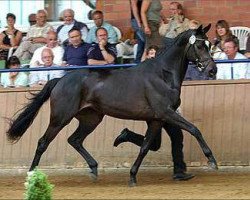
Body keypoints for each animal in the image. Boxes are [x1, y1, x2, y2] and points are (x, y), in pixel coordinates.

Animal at [5, 25, 217, 186]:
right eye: (200, 45)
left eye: (210, 44)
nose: (212, 70)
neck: (162, 75)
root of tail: (60, 80)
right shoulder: (165, 113)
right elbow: (194, 129)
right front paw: (212, 161)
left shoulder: (156, 119)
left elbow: (146, 146)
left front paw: (132, 175)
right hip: (60, 118)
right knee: (43, 142)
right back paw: (32, 175)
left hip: (91, 118)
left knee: (75, 140)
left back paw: (94, 168)